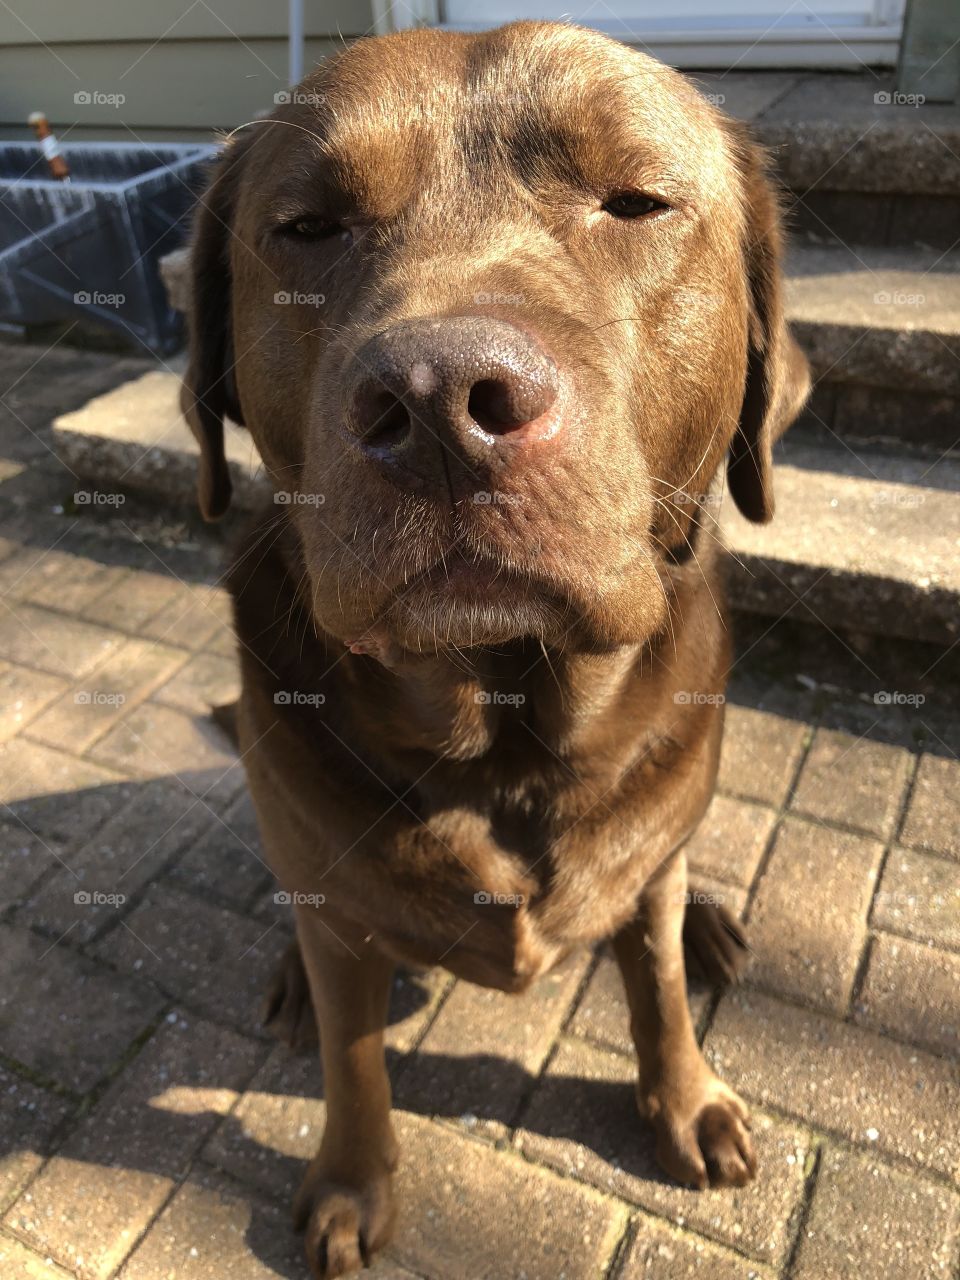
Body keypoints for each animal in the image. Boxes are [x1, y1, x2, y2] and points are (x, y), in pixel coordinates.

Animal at [180, 22, 814, 1280]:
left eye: (637, 201)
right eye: (307, 226)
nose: (440, 401)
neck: (507, 732)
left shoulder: (645, 856)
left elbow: (656, 981)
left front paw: (685, 1099)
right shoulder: (338, 907)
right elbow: (355, 1057)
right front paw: (350, 1183)